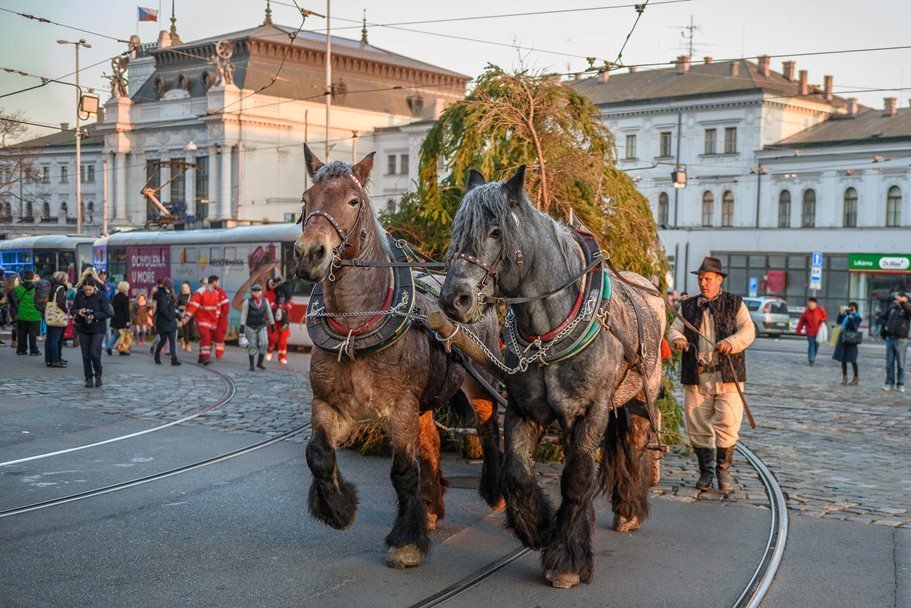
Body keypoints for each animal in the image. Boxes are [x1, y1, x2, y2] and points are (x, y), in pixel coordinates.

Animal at [294, 147, 502, 568]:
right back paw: (432, 506)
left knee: (490, 431)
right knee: (431, 445)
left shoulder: (400, 407)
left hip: (480, 386)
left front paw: (406, 541)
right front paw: (339, 510)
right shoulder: (326, 403)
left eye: (353, 201)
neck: (356, 325)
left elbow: (404, 471)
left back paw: (496, 493)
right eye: (307, 198)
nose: (310, 253)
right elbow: (318, 455)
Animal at [438, 166, 668, 588]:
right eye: (457, 229)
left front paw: (567, 560)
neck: (549, 332)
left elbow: (577, 477)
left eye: (495, 231)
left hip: (638, 398)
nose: (453, 299)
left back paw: (628, 509)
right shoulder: (524, 410)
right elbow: (517, 473)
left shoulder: (592, 411)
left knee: (634, 445)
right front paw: (540, 527)